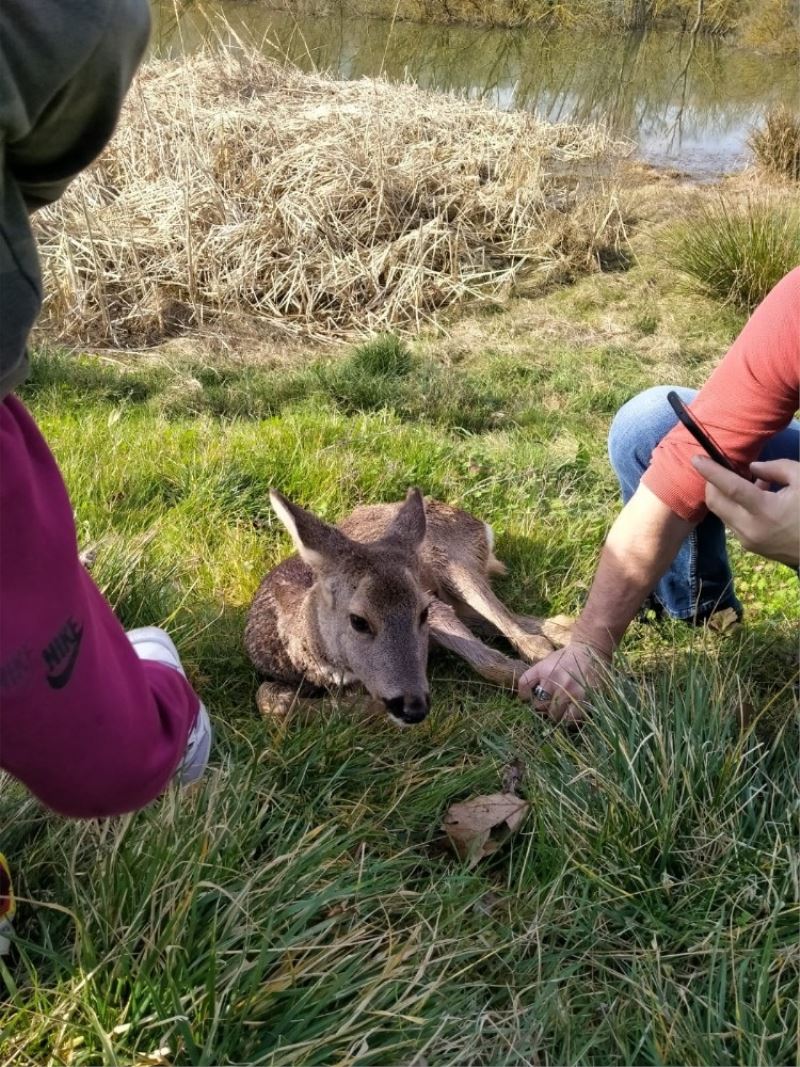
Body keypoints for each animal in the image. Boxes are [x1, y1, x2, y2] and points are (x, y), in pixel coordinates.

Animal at [244, 488, 571, 725]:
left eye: (421, 612)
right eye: (358, 620)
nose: (413, 706)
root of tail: (482, 527)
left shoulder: (434, 607)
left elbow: (496, 664)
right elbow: (268, 700)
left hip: (454, 562)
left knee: (524, 636)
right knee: (532, 623)